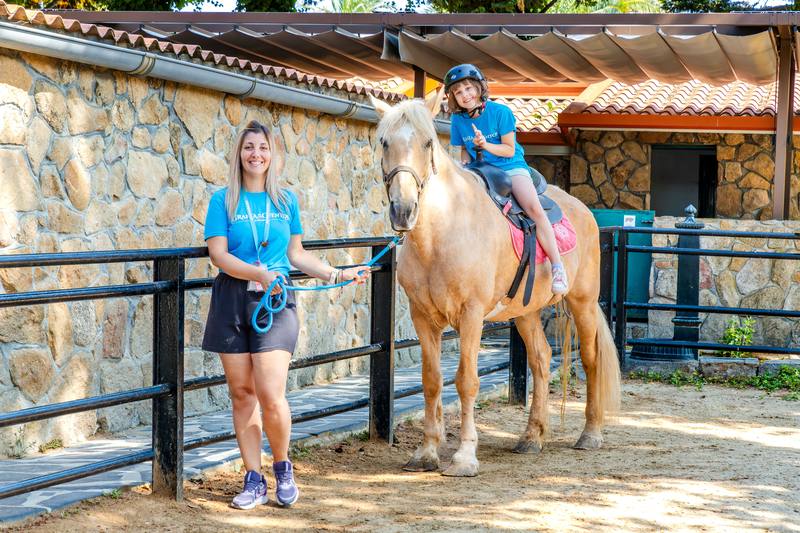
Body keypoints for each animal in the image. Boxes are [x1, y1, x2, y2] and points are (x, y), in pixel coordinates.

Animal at [369, 90, 621, 477]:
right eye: (384, 142)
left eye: (427, 142)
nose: (403, 210)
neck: (443, 232)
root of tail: (584, 211)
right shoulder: (422, 317)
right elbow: (431, 381)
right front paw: (426, 452)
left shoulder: (471, 315)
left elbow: (466, 381)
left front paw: (464, 456)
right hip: (526, 311)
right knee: (540, 359)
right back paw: (532, 437)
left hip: (582, 303)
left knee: (591, 359)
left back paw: (590, 434)